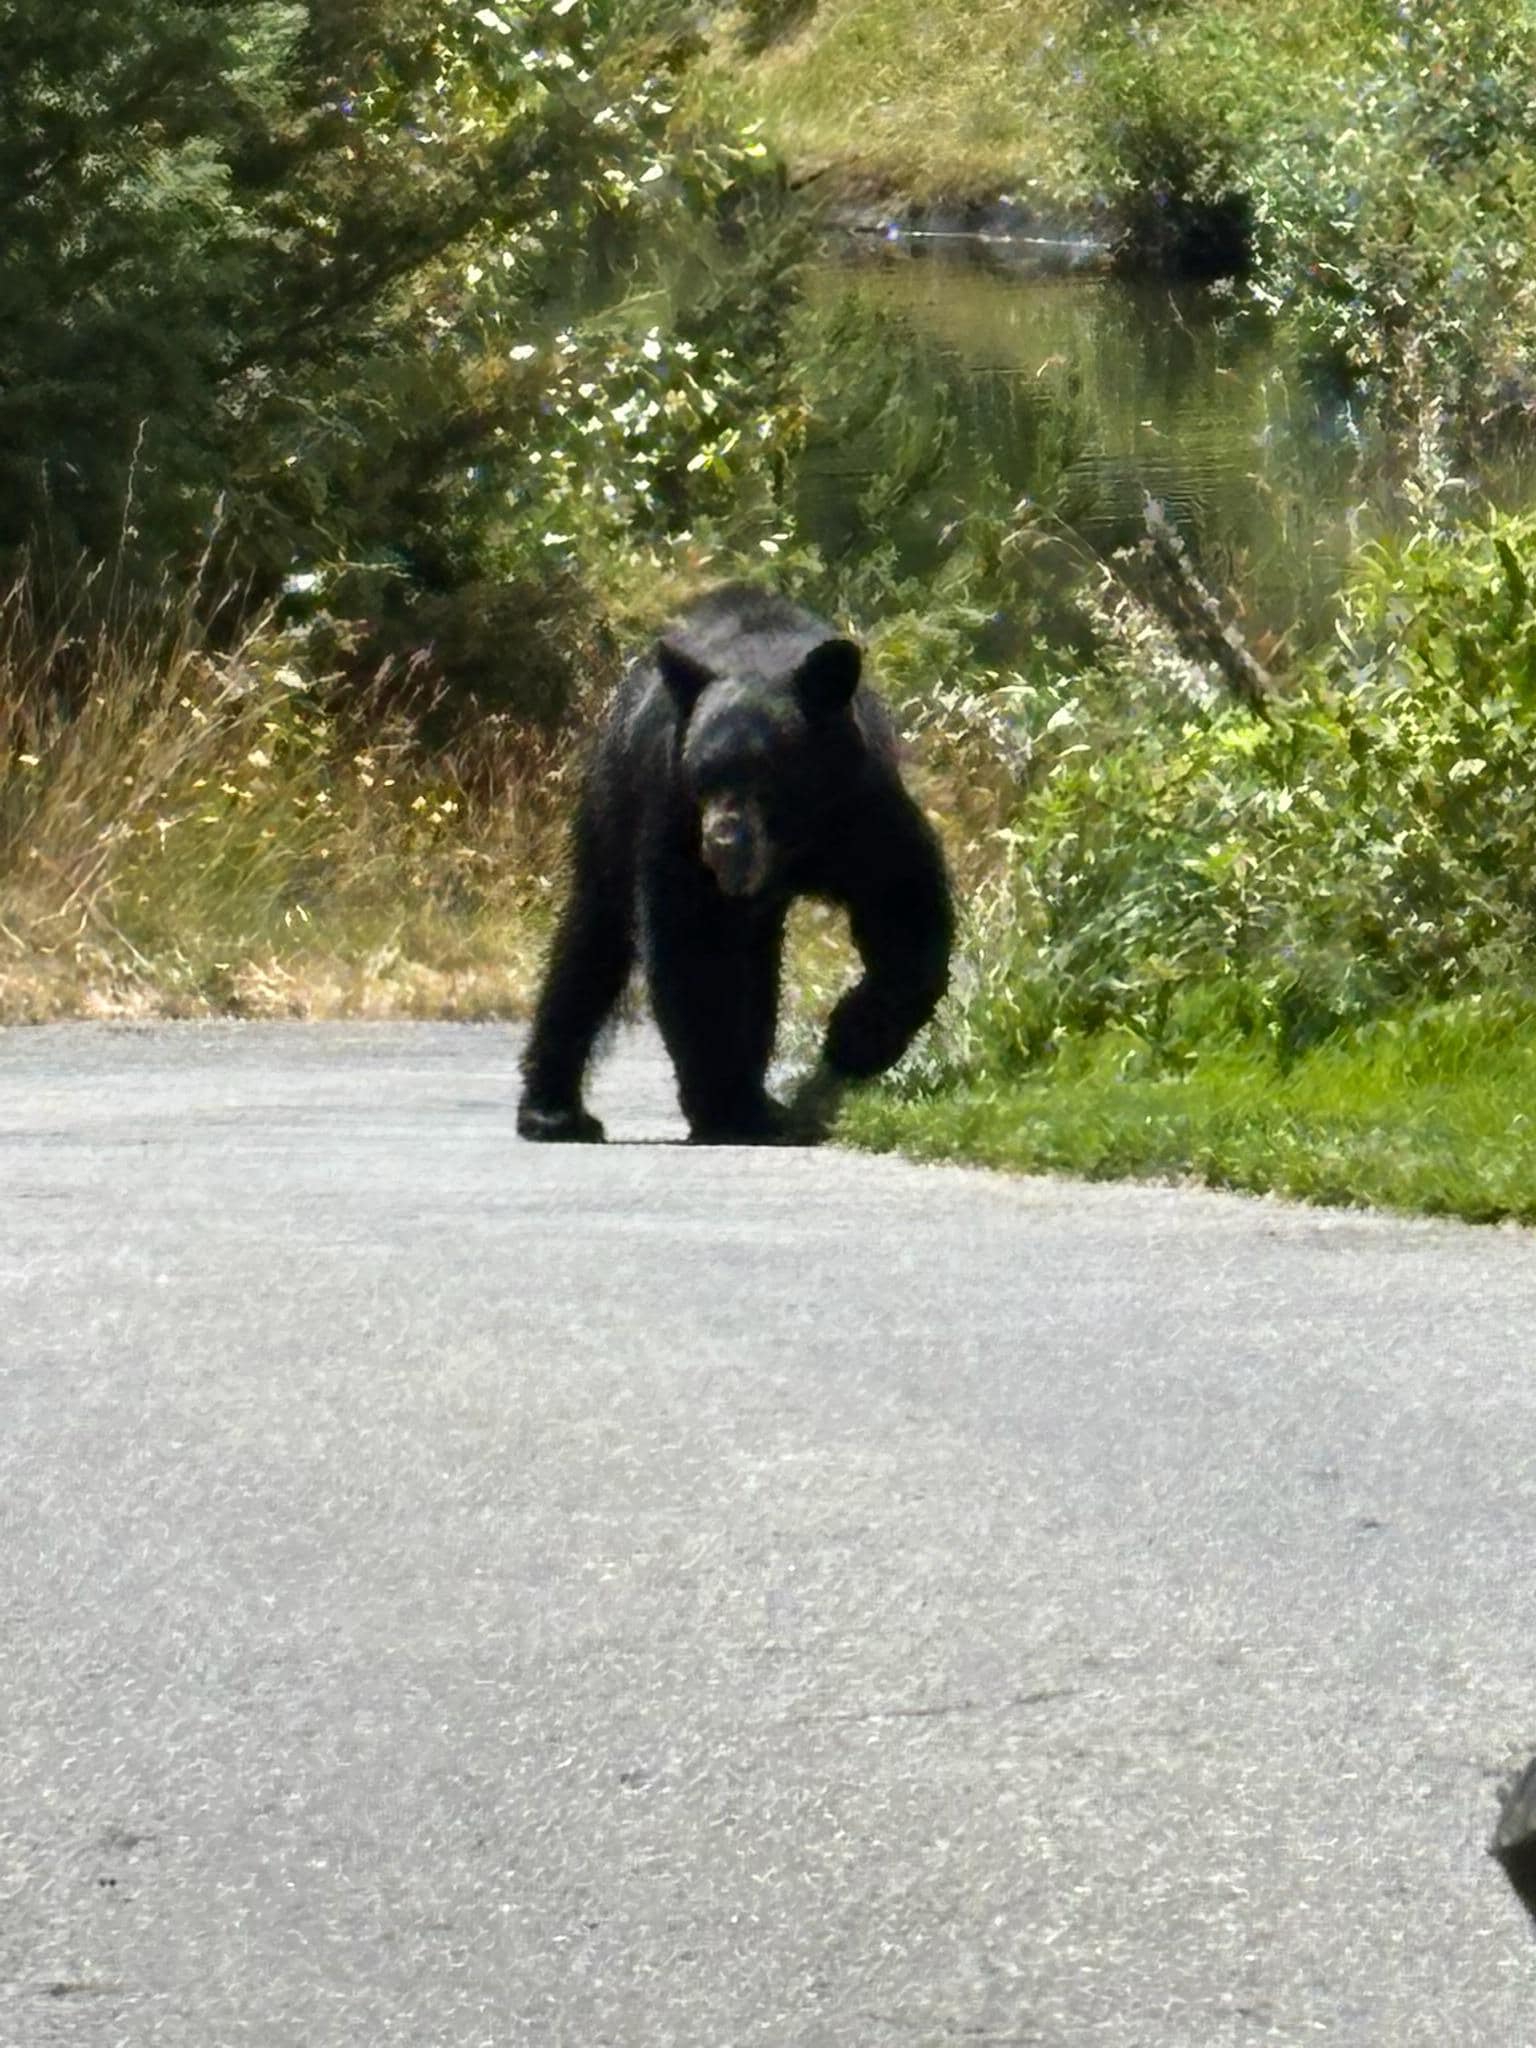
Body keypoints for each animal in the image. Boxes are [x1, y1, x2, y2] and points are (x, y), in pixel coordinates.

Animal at [516, 583, 953, 1145]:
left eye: (765, 777)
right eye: (703, 775)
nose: (723, 843)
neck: (792, 839)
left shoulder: (858, 807)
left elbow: (901, 901)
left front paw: (856, 1037)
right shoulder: (673, 819)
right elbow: (693, 944)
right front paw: (729, 1108)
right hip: (614, 801)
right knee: (592, 941)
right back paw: (554, 1111)